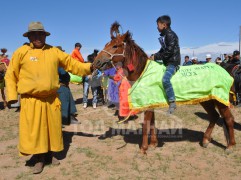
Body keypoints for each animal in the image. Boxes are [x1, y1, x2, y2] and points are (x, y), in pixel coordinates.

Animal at [93, 21, 236, 154]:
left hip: (219, 100)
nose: (96, 62)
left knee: (228, 119)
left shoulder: (147, 104)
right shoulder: (151, 103)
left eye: (115, 46)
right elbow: (152, 123)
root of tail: (225, 71)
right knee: (214, 116)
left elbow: (146, 125)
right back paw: (206, 140)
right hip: (207, 99)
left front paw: (143, 148)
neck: (143, 72)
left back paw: (230, 146)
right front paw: (153, 144)